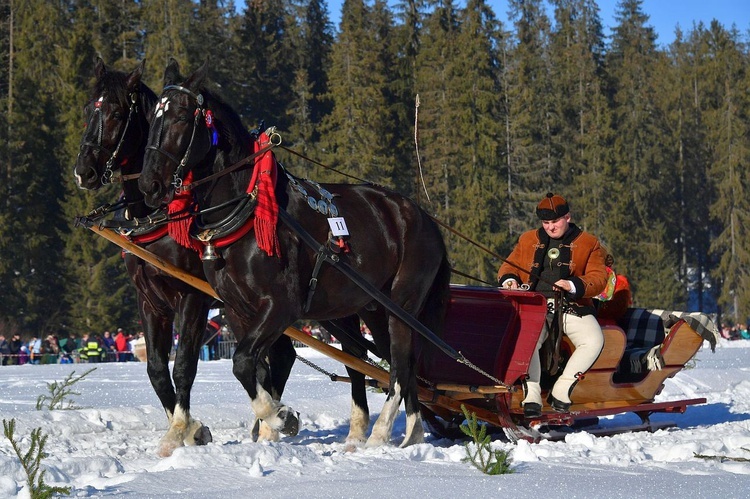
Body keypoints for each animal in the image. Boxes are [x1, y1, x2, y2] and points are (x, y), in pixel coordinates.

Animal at [72, 57, 298, 454]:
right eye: (87, 109)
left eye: (115, 112)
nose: (83, 172)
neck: (157, 216)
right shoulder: (149, 300)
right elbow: (156, 369)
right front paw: (188, 428)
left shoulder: (193, 296)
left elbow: (184, 366)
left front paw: (183, 428)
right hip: (242, 307)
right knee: (276, 355)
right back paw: (267, 420)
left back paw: (271, 421)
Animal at [138, 59, 450, 450]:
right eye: (153, 119)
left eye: (181, 116)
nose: (149, 184)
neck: (247, 208)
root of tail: (424, 218)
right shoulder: (238, 310)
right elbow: (256, 367)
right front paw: (271, 422)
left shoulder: (280, 307)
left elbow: (242, 362)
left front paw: (280, 417)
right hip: (371, 309)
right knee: (391, 362)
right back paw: (408, 432)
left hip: (402, 306)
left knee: (398, 365)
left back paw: (380, 433)